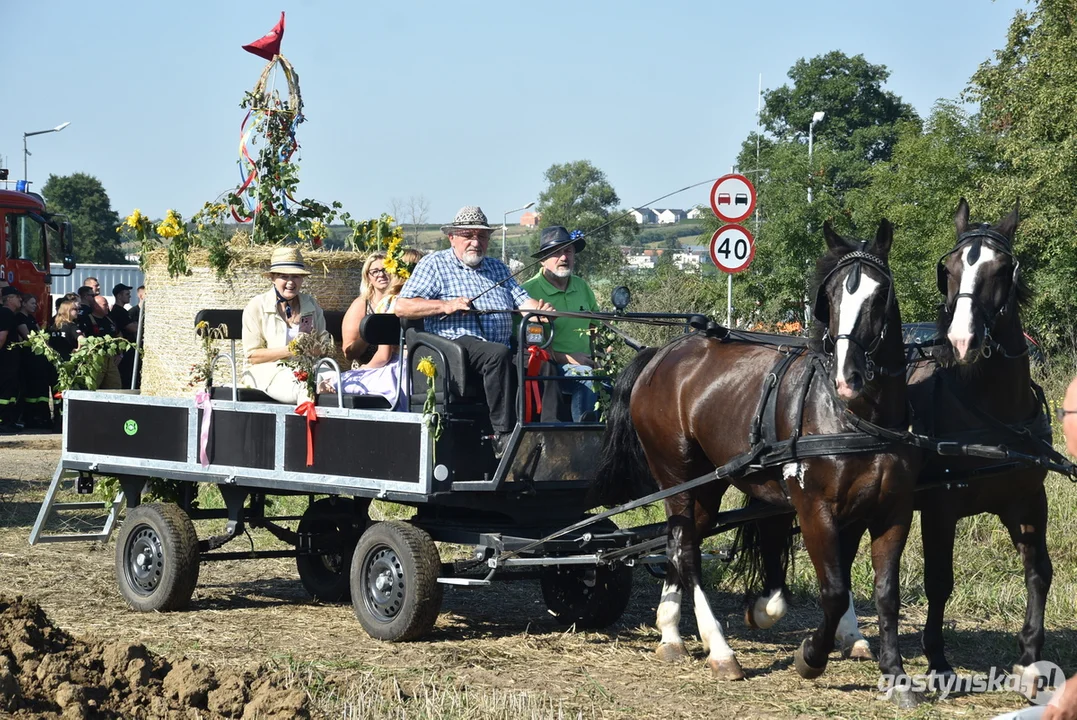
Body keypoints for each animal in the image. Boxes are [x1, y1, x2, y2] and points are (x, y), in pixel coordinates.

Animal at [590, 220, 926, 706]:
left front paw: (895, 674)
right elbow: (833, 589)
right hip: (675, 471)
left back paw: (671, 633)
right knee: (687, 550)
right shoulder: (814, 507)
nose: (848, 376)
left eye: (880, 295)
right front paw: (811, 655)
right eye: (830, 297)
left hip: (708, 482)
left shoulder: (891, 510)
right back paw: (719, 650)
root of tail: (661, 354)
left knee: (680, 537)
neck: (854, 416)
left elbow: (885, 594)